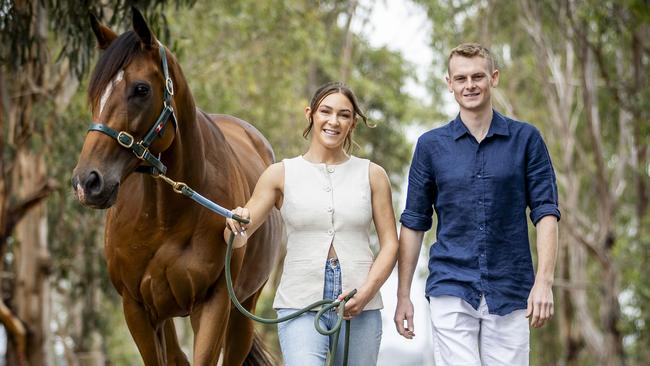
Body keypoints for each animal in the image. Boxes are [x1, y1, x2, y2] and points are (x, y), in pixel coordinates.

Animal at [71, 8, 280, 366]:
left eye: (141, 89)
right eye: (95, 93)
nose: (88, 182)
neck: (164, 217)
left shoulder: (214, 303)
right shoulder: (137, 309)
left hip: (243, 310)